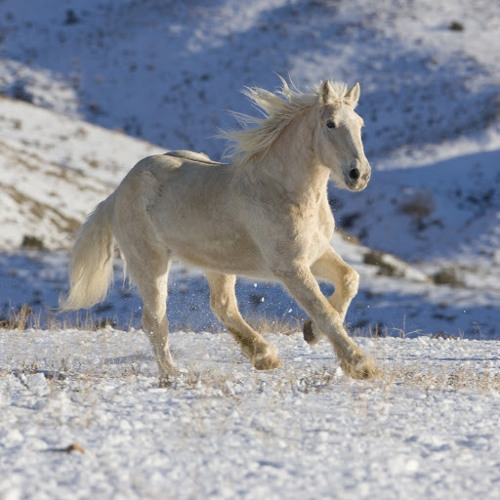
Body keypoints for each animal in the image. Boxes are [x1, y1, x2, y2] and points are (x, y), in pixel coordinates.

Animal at [62, 78, 380, 384]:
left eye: (360, 124)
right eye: (330, 123)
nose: (359, 175)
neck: (281, 191)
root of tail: (117, 192)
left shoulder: (316, 253)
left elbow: (349, 281)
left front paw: (311, 332)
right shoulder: (290, 266)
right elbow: (323, 310)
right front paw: (361, 365)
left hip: (217, 264)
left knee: (222, 305)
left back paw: (264, 357)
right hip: (150, 262)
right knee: (155, 320)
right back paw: (172, 375)